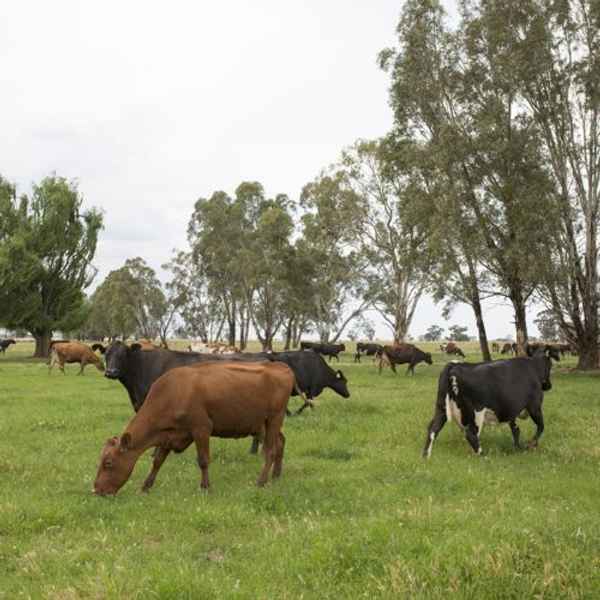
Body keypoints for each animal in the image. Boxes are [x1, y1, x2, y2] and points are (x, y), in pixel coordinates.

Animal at [93, 358, 296, 494]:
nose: (96, 490)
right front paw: (145, 486)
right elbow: (157, 461)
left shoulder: (201, 429)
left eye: (108, 462)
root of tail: (280, 366)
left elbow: (203, 460)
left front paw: (205, 487)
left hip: (274, 418)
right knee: (280, 443)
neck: (173, 392)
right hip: (262, 424)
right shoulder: (168, 435)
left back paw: (261, 481)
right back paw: (276, 475)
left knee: (270, 450)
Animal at [422, 346, 556, 460]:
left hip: (441, 408)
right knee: (471, 434)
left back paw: (426, 456)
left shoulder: (510, 409)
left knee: (433, 428)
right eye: (550, 364)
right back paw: (483, 456)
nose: (549, 385)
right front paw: (531, 445)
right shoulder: (534, 406)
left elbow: (515, 430)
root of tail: (454, 365)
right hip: (476, 413)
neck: (533, 367)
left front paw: (518, 448)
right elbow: (541, 426)